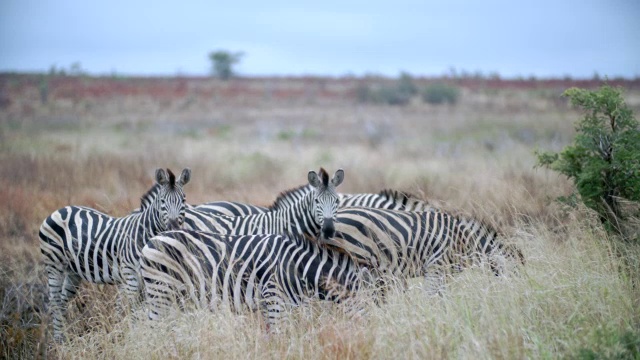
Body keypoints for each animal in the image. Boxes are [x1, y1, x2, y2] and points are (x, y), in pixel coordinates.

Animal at [38, 167, 190, 342]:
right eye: (163, 201)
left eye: (183, 200)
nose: (173, 227)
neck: (143, 233)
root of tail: (60, 210)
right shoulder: (130, 275)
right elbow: (132, 309)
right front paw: (133, 336)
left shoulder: (152, 277)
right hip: (53, 264)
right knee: (55, 301)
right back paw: (59, 340)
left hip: (73, 271)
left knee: (63, 301)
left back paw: (65, 336)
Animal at [138, 231, 372, 330]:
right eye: (367, 304)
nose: (375, 329)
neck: (297, 267)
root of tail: (150, 240)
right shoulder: (274, 297)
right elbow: (279, 334)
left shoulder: (276, 305)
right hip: (161, 291)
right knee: (152, 327)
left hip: (172, 296)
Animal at [320, 207, 524, 294]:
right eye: (515, 274)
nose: (519, 296)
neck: (464, 240)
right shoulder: (435, 267)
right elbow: (434, 297)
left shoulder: (442, 272)